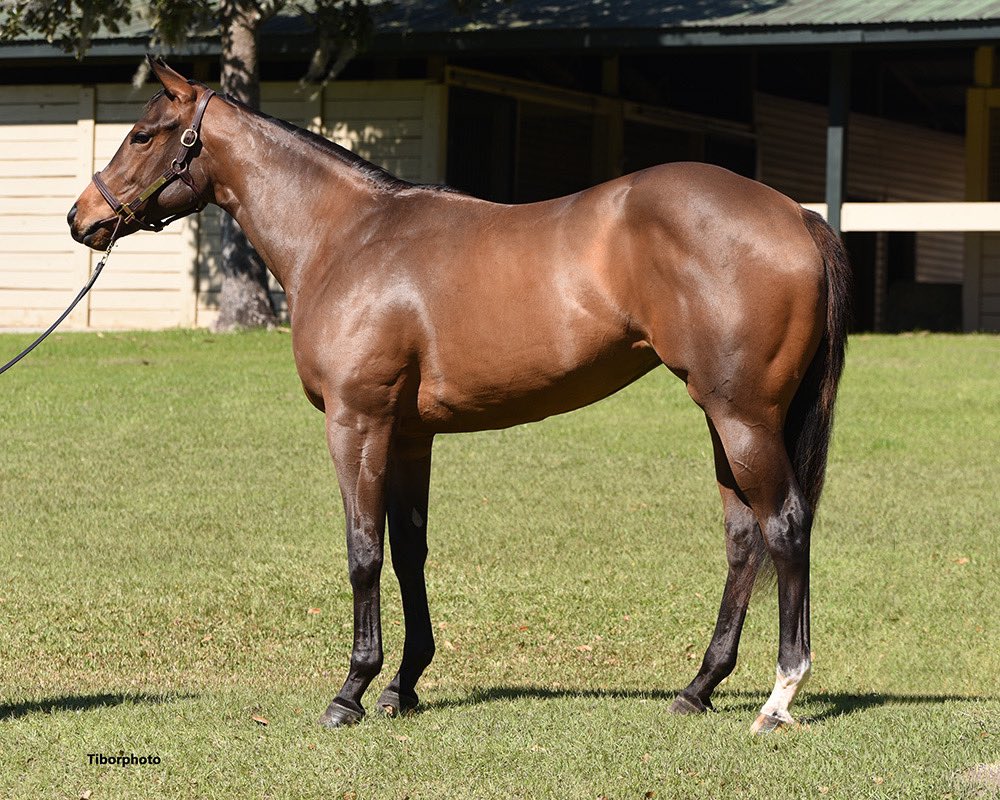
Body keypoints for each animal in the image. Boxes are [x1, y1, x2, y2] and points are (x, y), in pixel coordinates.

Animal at [68, 57, 850, 734]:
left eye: (142, 135)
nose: (81, 219)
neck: (347, 238)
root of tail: (796, 214)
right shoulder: (411, 434)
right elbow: (408, 551)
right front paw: (403, 685)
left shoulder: (358, 423)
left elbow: (362, 550)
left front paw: (351, 691)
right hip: (726, 420)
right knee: (744, 539)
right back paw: (697, 687)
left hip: (742, 418)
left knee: (784, 526)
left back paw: (779, 697)